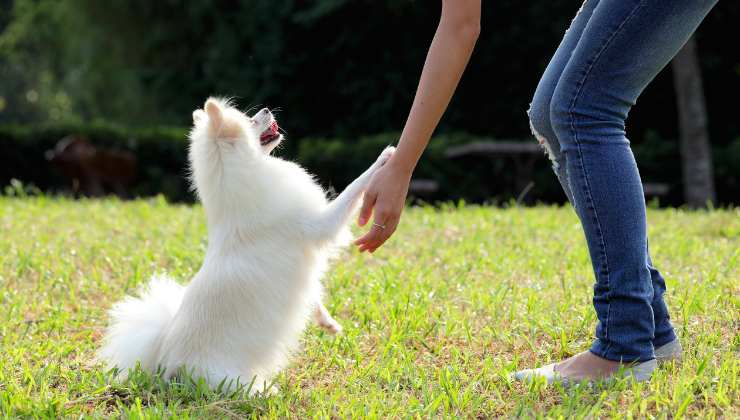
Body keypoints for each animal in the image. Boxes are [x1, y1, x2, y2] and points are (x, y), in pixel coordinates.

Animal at [98, 97, 394, 392]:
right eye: (250, 120)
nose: (266, 109)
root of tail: (164, 362)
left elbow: (313, 293)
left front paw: (327, 321)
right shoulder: (322, 224)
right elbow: (354, 187)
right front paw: (384, 157)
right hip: (226, 379)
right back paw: (266, 391)